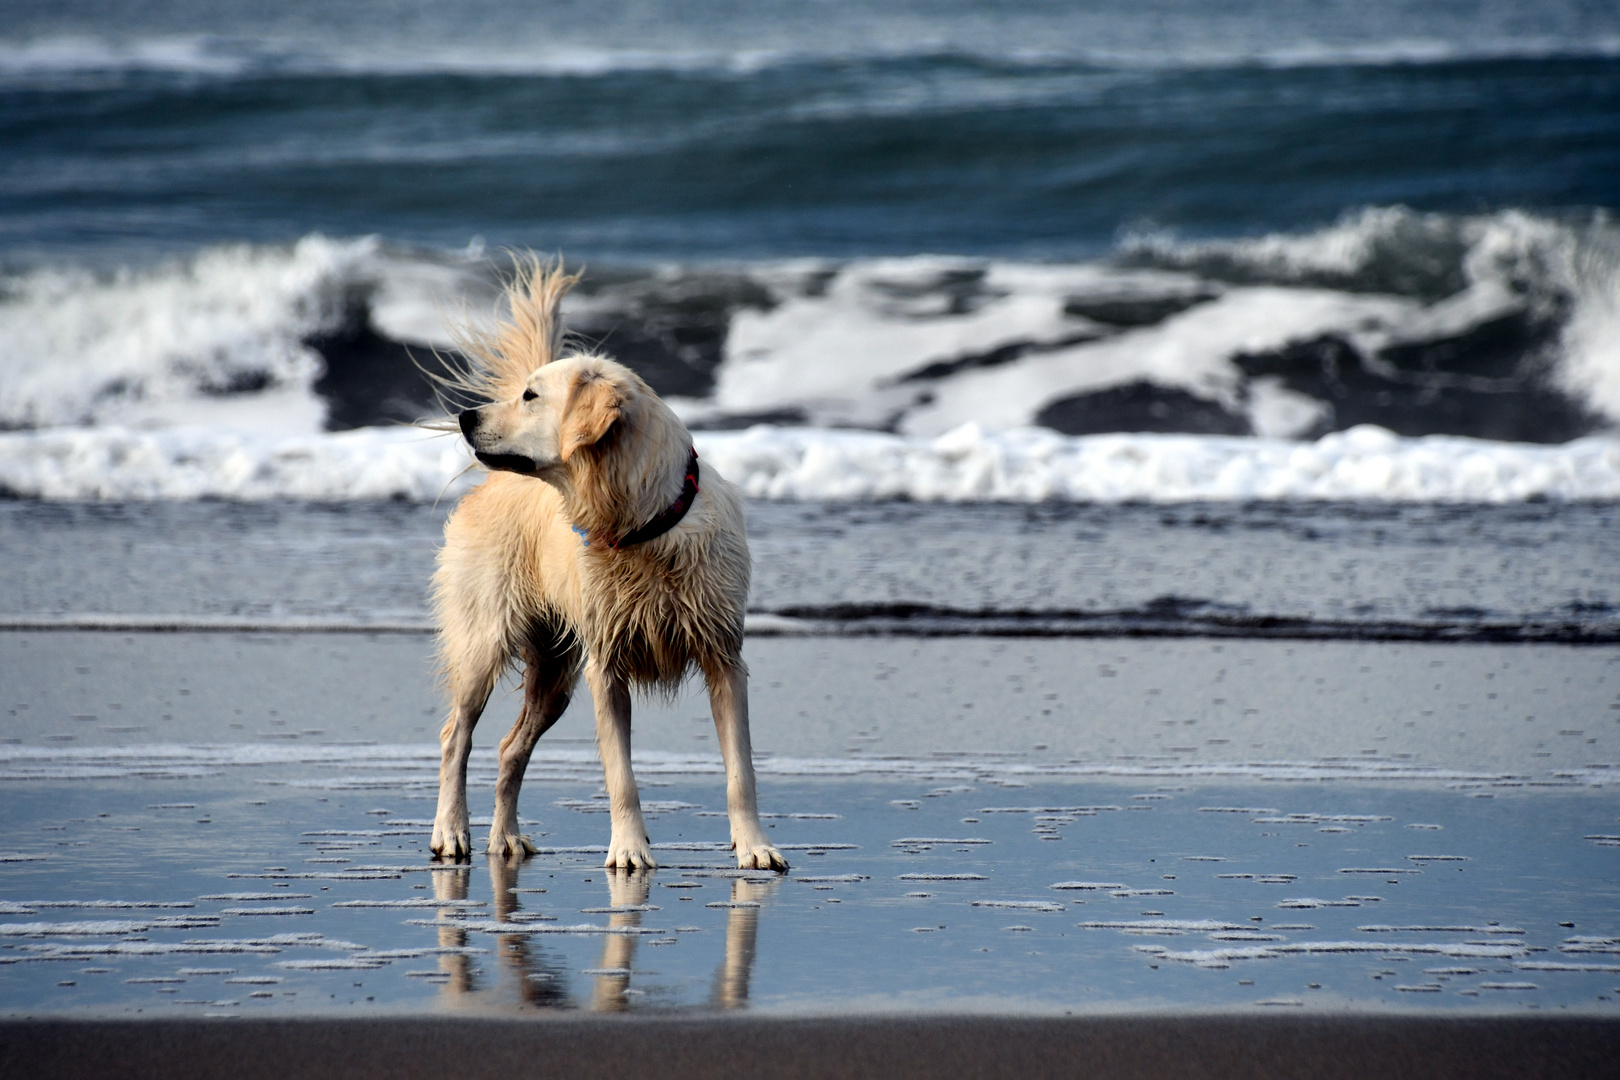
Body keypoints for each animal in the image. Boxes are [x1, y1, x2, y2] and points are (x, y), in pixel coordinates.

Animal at [427, 263, 787, 880]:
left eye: (530, 396)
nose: (464, 417)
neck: (644, 528)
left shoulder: (723, 657)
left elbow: (740, 771)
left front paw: (755, 847)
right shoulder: (606, 666)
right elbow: (621, 775)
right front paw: (629, 849)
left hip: (554, 674)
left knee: (509, 748)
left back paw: (506, 838)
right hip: (484, 639)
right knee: (456, 735)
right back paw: (451, 833)